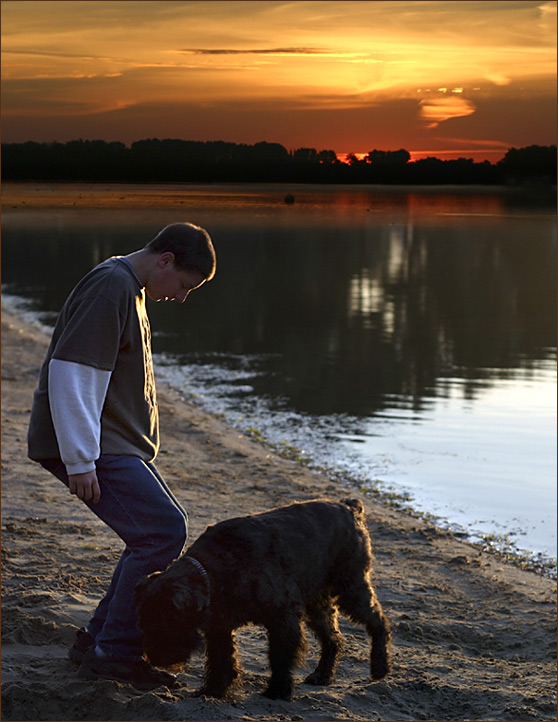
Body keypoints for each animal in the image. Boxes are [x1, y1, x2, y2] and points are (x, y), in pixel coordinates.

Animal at [135, 496, 392, 696]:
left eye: (165, 620)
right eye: (144, 621)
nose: (154, 659)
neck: (213, 571)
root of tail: (349, 507)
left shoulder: (283, 619)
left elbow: (279, 655)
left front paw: (278, 690)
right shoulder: (220, 627)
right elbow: (221, 659)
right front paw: (213, 691)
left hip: (351, 588)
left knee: (378, 620)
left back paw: (380, 666)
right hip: (317, 604)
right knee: (333, 638)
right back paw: (322, 675)